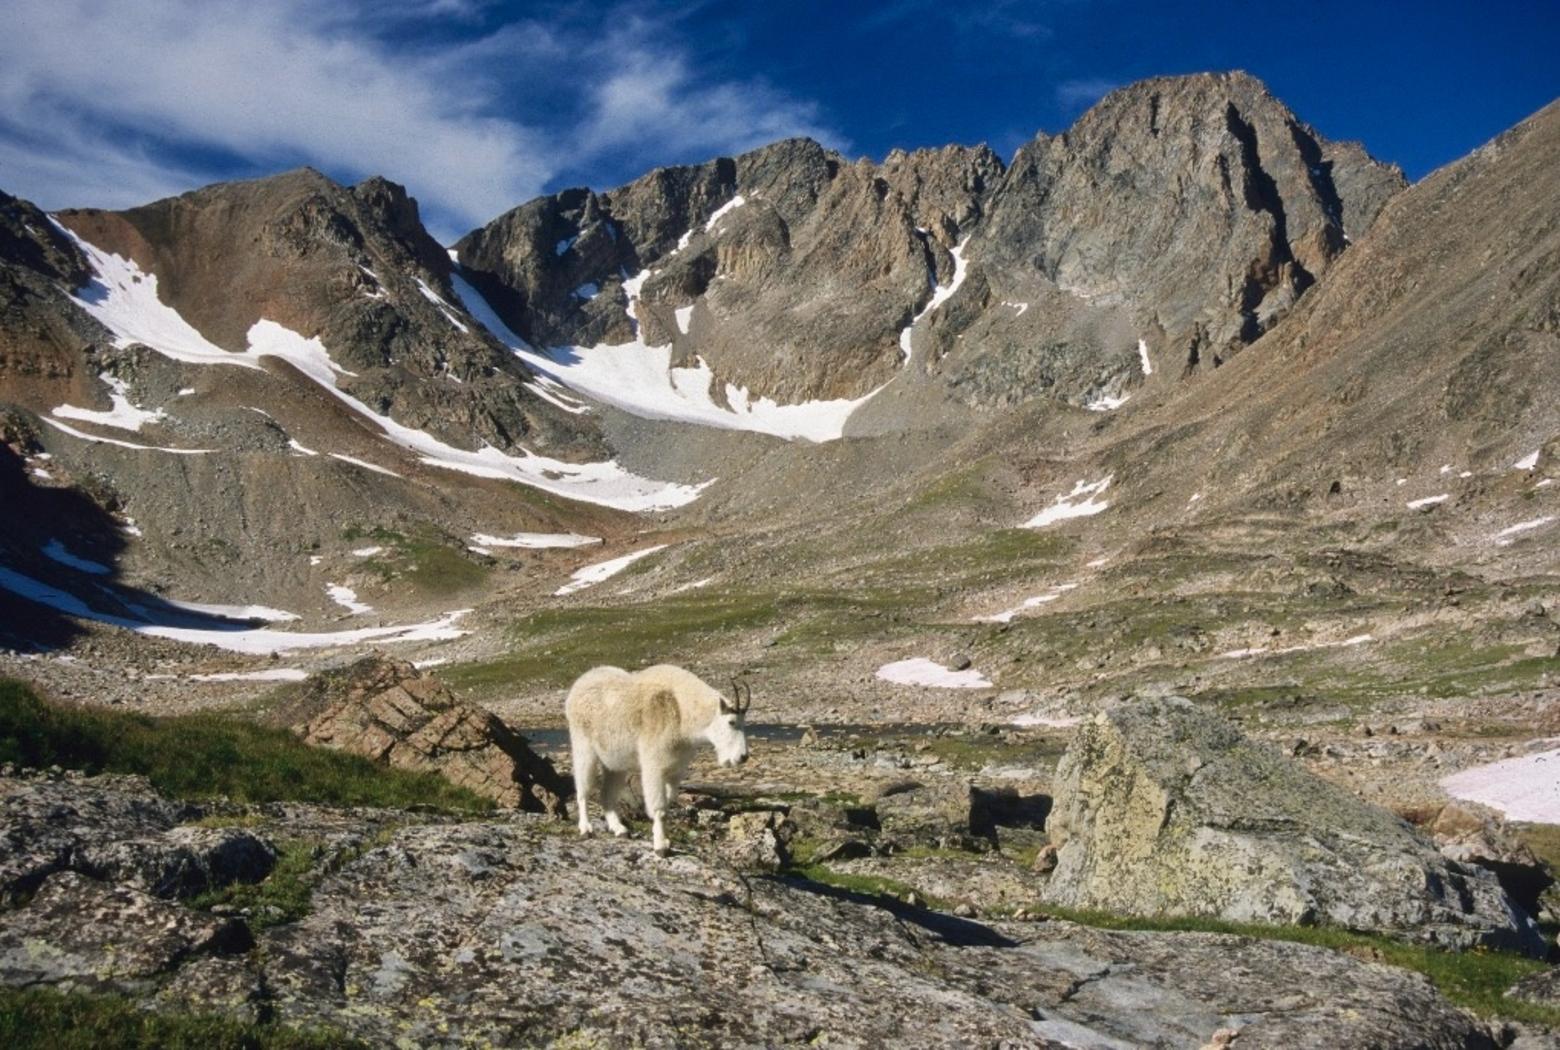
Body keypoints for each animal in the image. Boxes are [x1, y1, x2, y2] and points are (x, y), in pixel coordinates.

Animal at [564, 667, 751, 854]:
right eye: (731, 722)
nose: (743, 757)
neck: (681, 711)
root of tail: (577, 687)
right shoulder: (654, 765)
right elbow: (659, 807)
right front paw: (660, 846)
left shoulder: (675, 769)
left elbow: (667, 802)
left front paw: (665, 840)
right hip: (583, 745)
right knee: (583, 789)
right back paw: (586, 828)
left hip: (615, 761)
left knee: (607, 793)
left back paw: (619, 829)